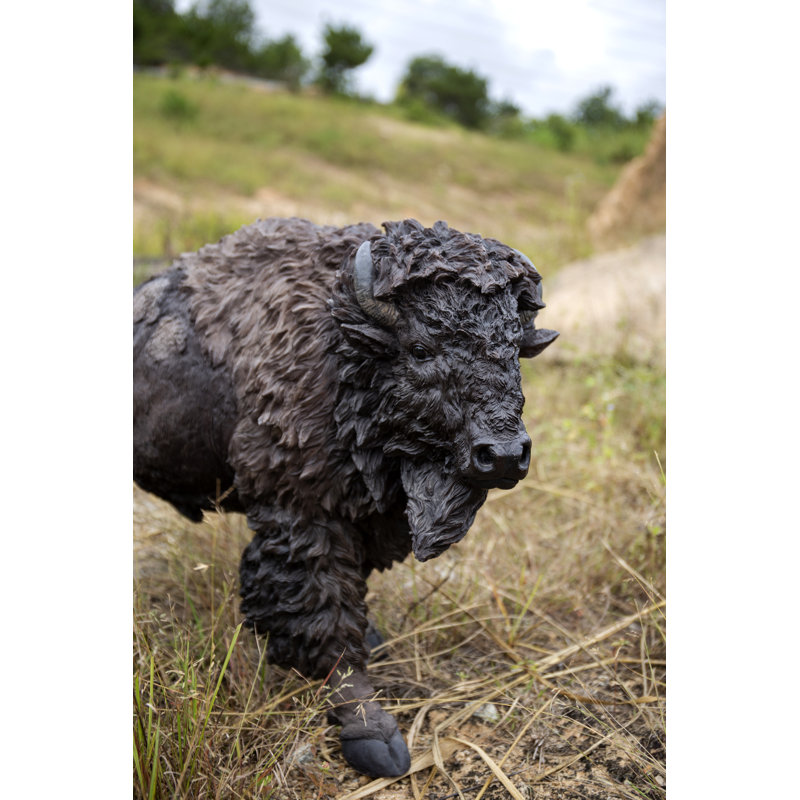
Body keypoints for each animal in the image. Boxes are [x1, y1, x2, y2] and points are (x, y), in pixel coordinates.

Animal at [133, 217, 558, 777]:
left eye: (514, 351)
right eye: (420, 349)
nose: (504, 454)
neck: (344, 346)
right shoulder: (304, 515)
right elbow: (324, 616)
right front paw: (374, 738)